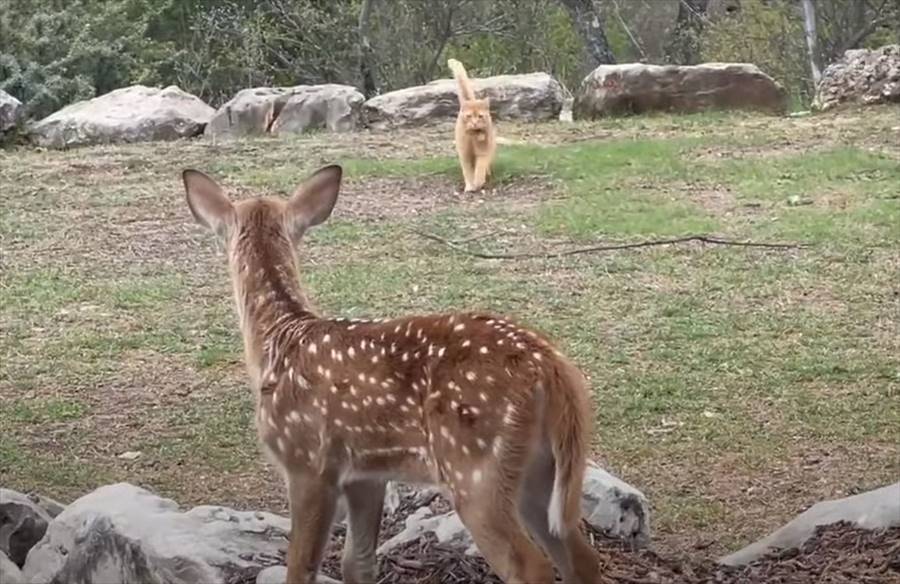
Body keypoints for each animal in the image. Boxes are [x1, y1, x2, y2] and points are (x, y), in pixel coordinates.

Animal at [446, 59, 496, 193]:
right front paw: (469, 187)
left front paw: (478, 183)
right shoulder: (465, 156)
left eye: (480, 116)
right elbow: (468, 173)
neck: (473, 136)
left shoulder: (482, 153)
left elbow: (479, 170)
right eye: (469, 116)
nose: (474, 123)